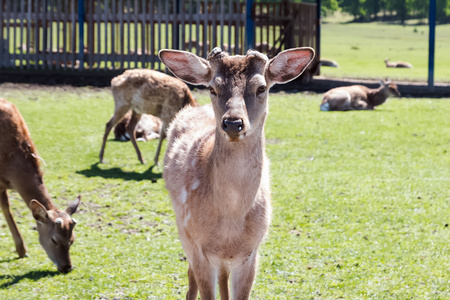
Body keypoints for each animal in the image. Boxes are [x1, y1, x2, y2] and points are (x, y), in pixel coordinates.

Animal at [0, 98, 81, 272]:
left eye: (72, 239)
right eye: (54, 240)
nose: (67, 267)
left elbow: (6, 208)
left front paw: (22, 250)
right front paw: (21, 249)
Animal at [160, 45, 314, 298]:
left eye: (261, 87)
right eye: (212, 87)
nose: (233, 123)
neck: (230, 222)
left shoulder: (251, 252)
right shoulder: (198, 246)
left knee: (222, 277)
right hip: (183, 230)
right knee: (190, 276)